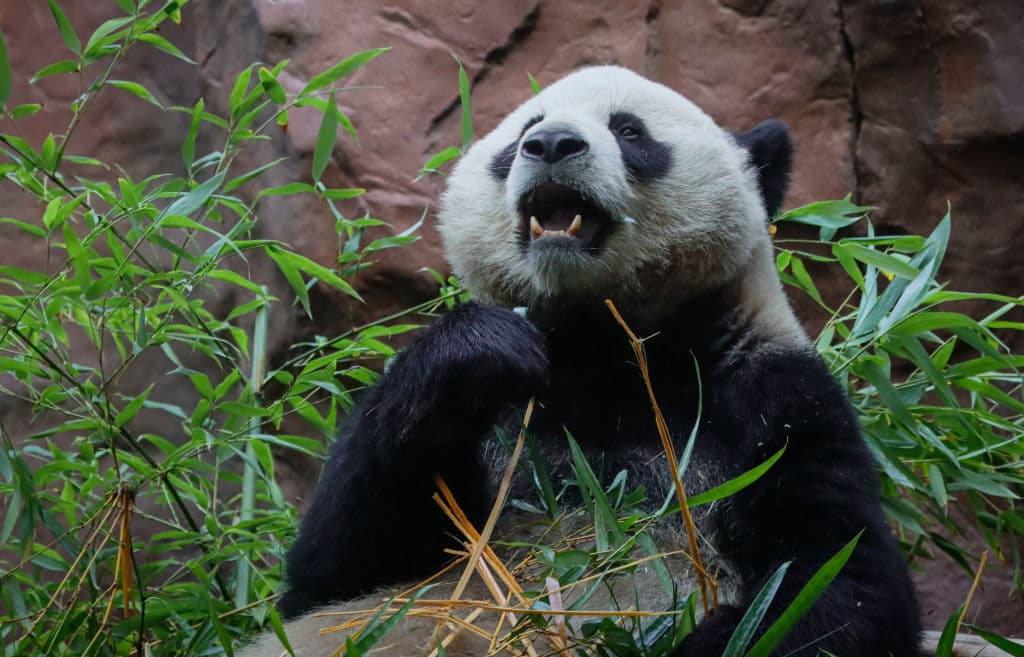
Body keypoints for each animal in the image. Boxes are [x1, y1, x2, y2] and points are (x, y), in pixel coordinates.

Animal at [239, 66, 921, 657]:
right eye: (524, 130)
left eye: (630, 130)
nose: (550, 144)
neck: (608, 345)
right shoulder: (512, 421)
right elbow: (333, 575)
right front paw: (473, 352)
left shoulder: (771, 400)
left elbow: (836, 586)